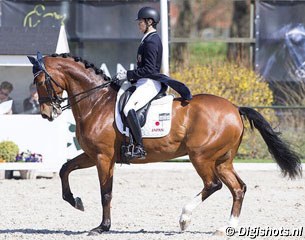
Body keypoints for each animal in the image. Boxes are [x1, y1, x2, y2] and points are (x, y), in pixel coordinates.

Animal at [27, 53, 300, 236]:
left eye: (40, 82)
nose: (46, 114)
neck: (95, 101)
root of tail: (235, 108)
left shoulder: (103, 157)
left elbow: (106, 192)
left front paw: (102, 227)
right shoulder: (92, 155)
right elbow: (64, 169)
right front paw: (75, 201)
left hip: (201, 157)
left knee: (213, 185)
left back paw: (184, 219)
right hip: (222, 160)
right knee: (238, 188)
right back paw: (226, 228)